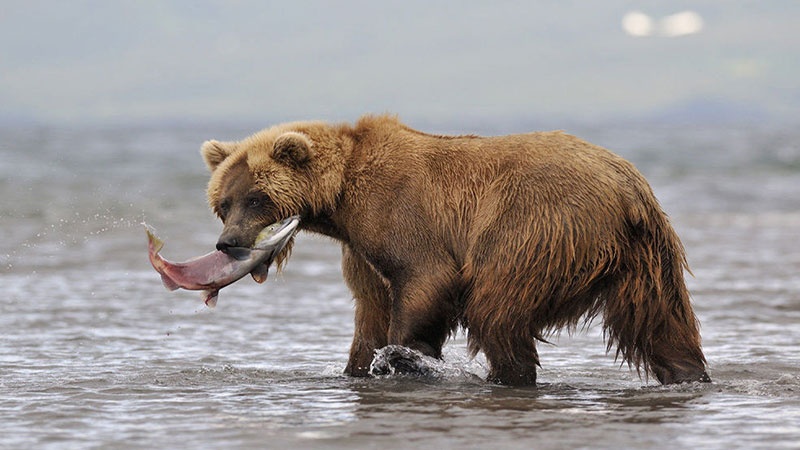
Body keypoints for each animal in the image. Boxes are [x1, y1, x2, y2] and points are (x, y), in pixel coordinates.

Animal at [203, 114, 708, 384]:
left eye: (256, 198)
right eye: (223, 202)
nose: (228, 242)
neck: (341, 203)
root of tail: (628, 187)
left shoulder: (400, 214)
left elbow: (425, 280)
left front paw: (405, 356)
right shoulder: (361, 254)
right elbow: (369, 312)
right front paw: (360, 366)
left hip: (536, 225)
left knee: (497, 307)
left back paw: (507, 375)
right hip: (646, 259)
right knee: (661, 323)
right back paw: (688, 373)